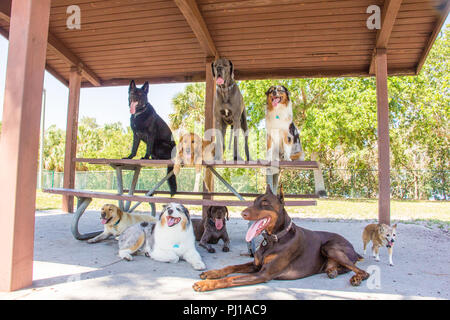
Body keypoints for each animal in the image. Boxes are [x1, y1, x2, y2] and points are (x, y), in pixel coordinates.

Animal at [192, 185, 368, 292]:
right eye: (254, 201)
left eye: (265, 203)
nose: (243, 213)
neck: (274, 238)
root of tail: (353, 248)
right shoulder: (256, 265)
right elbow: (231, 267)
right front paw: (212, 273)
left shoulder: (263, 274)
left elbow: (232, 278)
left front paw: (205, 284)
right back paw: (332, 271)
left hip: (329, 247)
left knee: (362, 271)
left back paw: (356, 278)